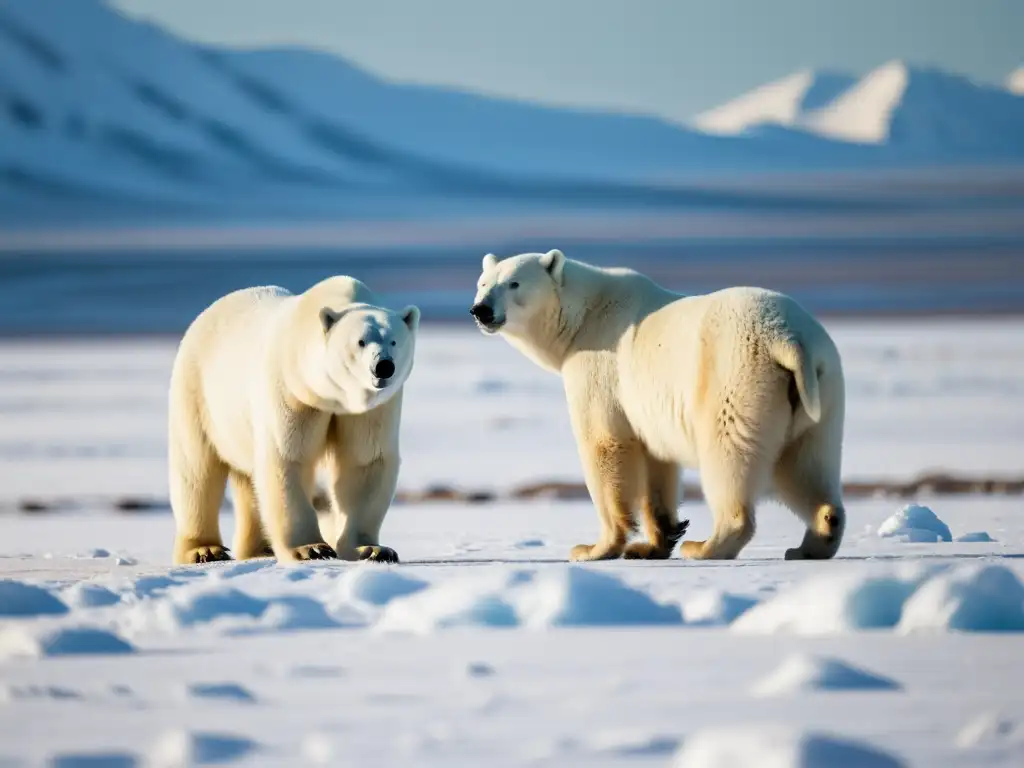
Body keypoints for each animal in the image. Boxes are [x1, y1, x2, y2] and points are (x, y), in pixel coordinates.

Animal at [167, 276, 419, 565]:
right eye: (361, 342)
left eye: (394, 341)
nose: (383, 367)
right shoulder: (291, 391)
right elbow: (287, 457)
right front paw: (311, 548)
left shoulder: (372, 409)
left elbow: (364, 461)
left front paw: (372, 549)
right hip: (197, 393)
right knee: (196, 471)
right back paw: (204, 550)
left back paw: (259, 548)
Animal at [471, 249, 847, 561]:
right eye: (484, 283)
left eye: (514, 283)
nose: (481, 310)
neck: (584, 316)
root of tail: (789, 338)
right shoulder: (646, 406)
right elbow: (656, 458)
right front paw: (655, 542)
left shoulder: (597, 365)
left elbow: (604, 444)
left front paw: (594, 549)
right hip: (820, 390)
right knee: (805, 462)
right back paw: (812, 541)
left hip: (737, 377)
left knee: (729, 455)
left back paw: (706, 546)